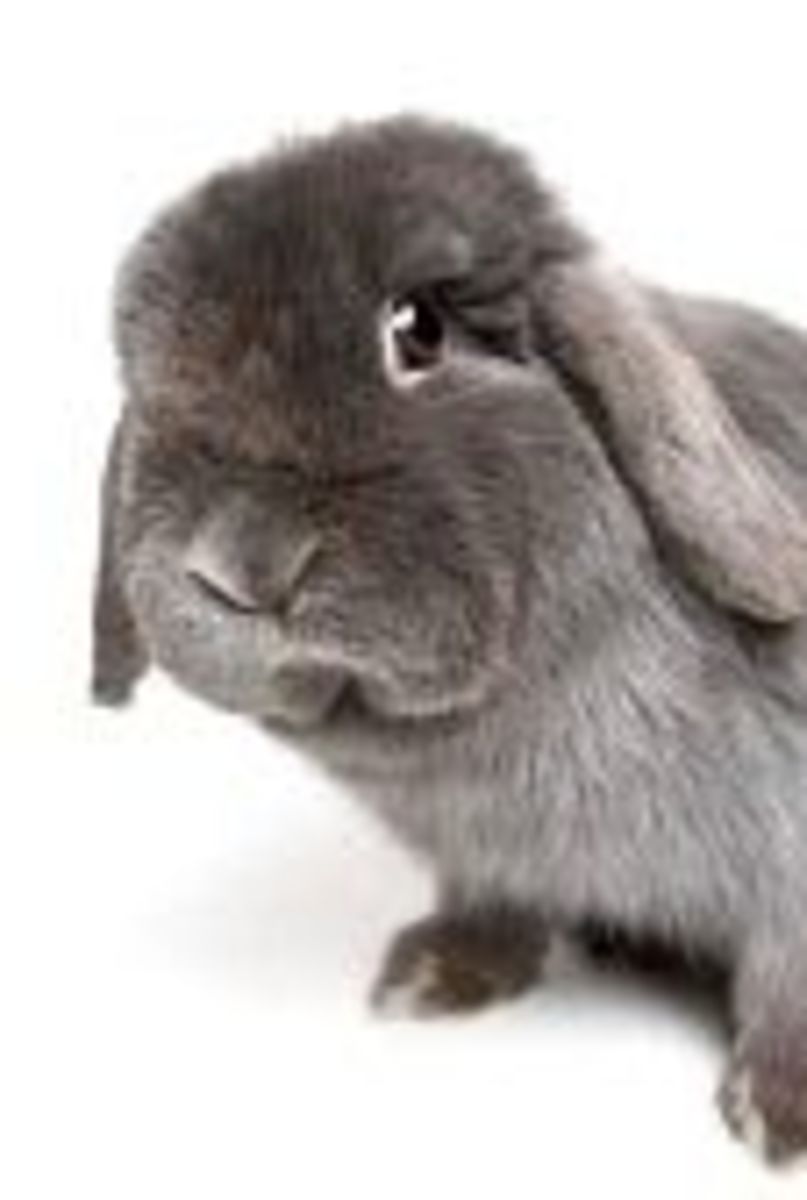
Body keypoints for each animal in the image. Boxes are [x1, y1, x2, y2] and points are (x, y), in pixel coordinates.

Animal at [92, 114, 807, 1164]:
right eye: (150, 381)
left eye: (418, 329)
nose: (240, 566)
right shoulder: (484, 856)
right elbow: (486, 905)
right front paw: (430, 976)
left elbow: (784, 988)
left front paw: (775, 1116)